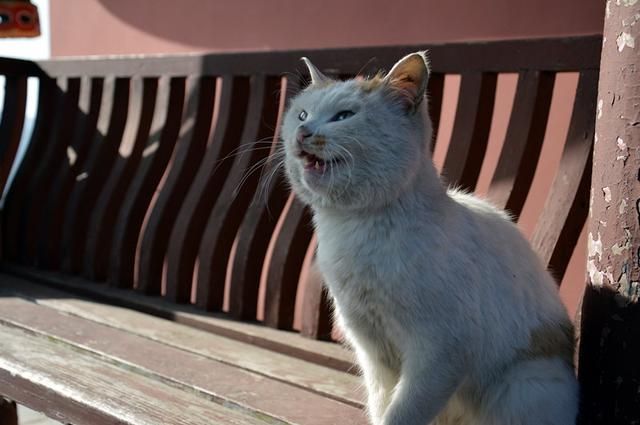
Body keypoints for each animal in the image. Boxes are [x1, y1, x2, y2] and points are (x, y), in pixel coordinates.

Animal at [280, 52, 580, 424]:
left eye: (344, 116)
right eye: (302, 114)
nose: (303, 132)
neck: (355, 228)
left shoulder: (439, 352)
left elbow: (404, 412)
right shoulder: (373, 352)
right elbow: (382, 407)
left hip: (521, 386)